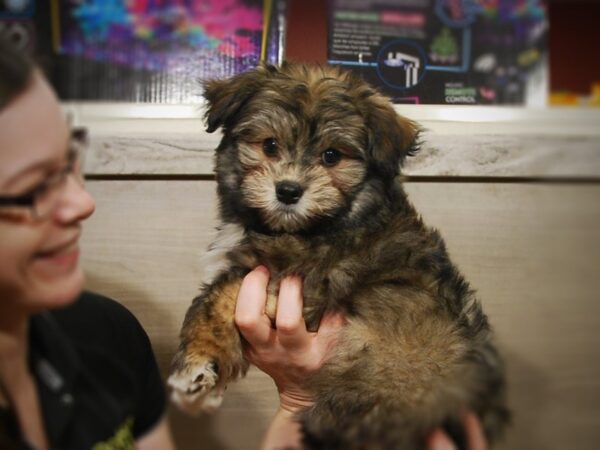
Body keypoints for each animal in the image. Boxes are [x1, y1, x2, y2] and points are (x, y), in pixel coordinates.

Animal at [166, 63, 508, 450]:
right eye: (270, 145)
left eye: (331, 156)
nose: (288, 191)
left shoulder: (303, 282)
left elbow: (218, 295)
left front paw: (196, 364)